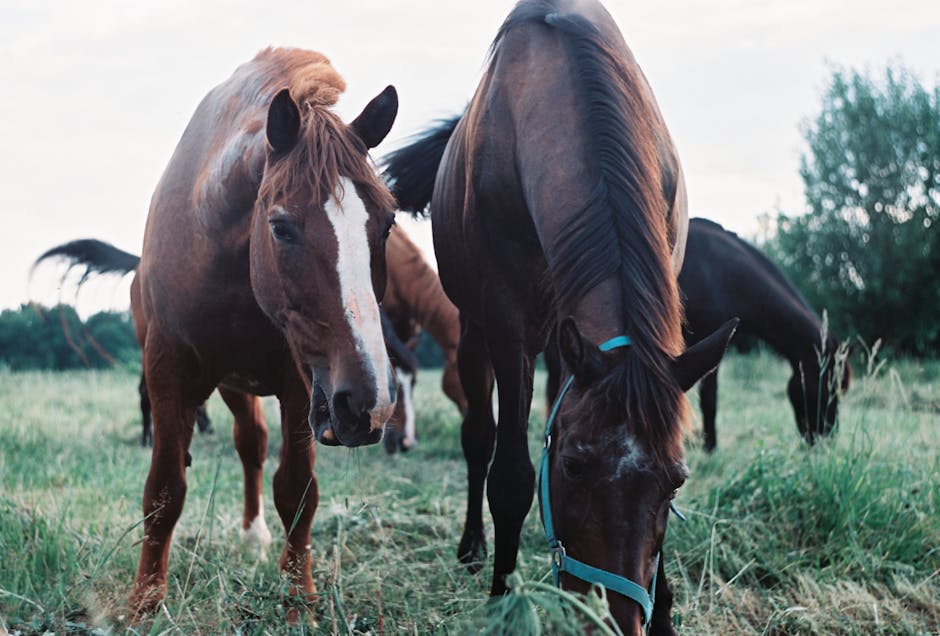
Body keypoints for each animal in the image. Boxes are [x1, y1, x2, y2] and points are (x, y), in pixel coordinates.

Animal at [35, 48, 396, 616]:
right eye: (281, 227)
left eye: (387, 223)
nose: (367, 404)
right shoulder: (168, 370)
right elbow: (164, 489)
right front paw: (145, 601)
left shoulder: (301, 380)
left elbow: (297, 489)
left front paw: (300, 596)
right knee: (240, 442)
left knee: (253, 445)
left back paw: (254, 536)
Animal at [382, 3, 736, 632]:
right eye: (572, 467)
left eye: (675, 481)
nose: (621, 619)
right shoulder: (507, 325)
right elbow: (511, 474)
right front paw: (502, 598)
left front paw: (666, 610)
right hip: (475, 334)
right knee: (479, 437)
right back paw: (473, 547)